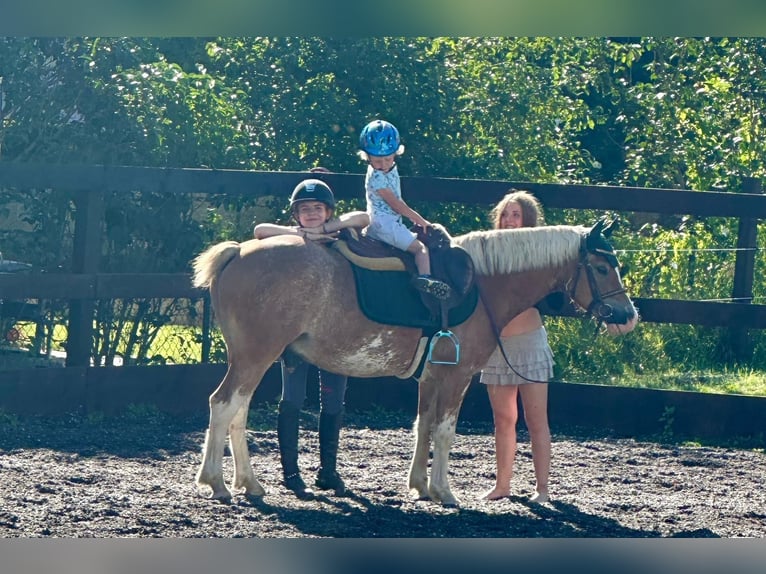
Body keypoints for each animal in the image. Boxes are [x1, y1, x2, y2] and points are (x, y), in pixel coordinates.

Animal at [191, 218, 638, 506]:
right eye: (602, 267)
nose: (627, 315)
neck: (482, 285)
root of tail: (238, 252)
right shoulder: (457, 377)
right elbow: (444, 431)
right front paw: (445, 492)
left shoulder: (432, 377)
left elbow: (422, 426)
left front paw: (420, 486)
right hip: (256, 356)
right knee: (222, 404)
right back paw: (217, 482)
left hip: (252, 359)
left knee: (238, 411)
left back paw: (249, 482)